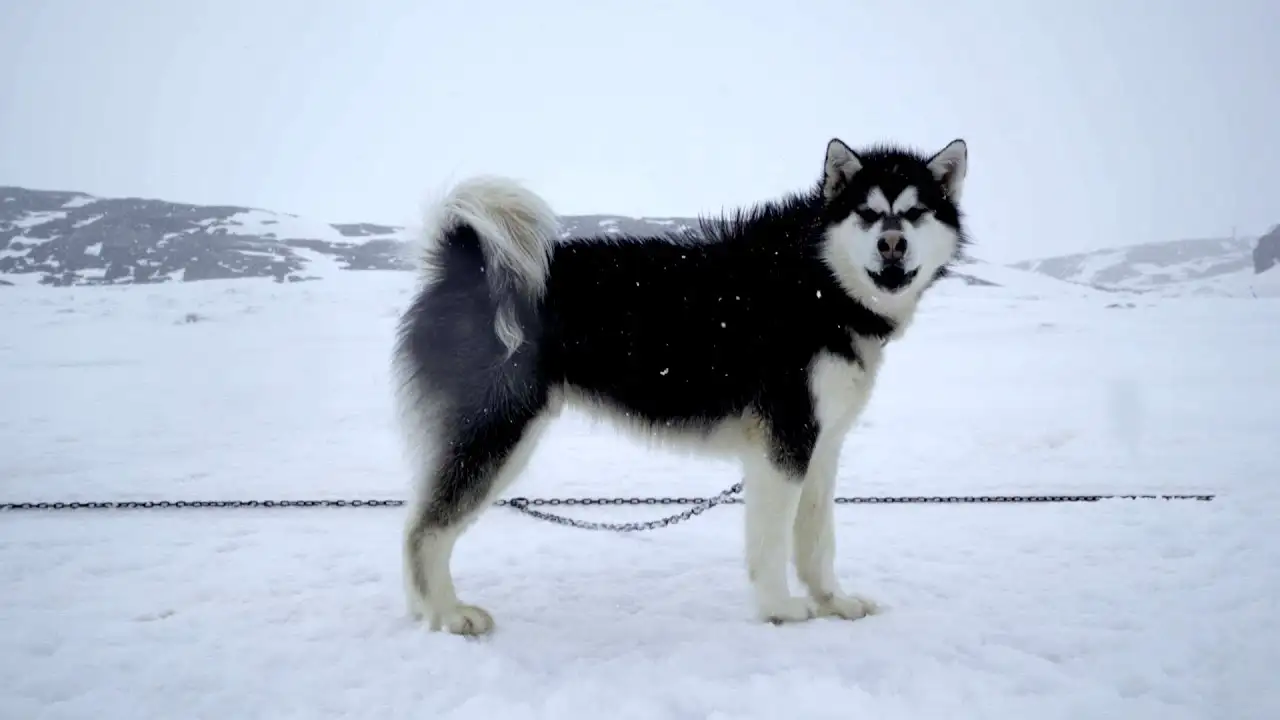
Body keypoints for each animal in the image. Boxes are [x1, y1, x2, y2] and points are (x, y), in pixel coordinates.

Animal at [394, 137, 962, 630]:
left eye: (915, 213)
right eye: (866, 213)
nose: (892, 244)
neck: (819, 281)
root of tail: (464, 264)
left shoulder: (819, 446)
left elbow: (817, 539)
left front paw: (833, 602)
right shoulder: (784, 442)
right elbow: (773, 539)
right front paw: (779, 608)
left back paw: (427, 611)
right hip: (498, 430)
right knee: (424, 528)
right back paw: (448, 614)